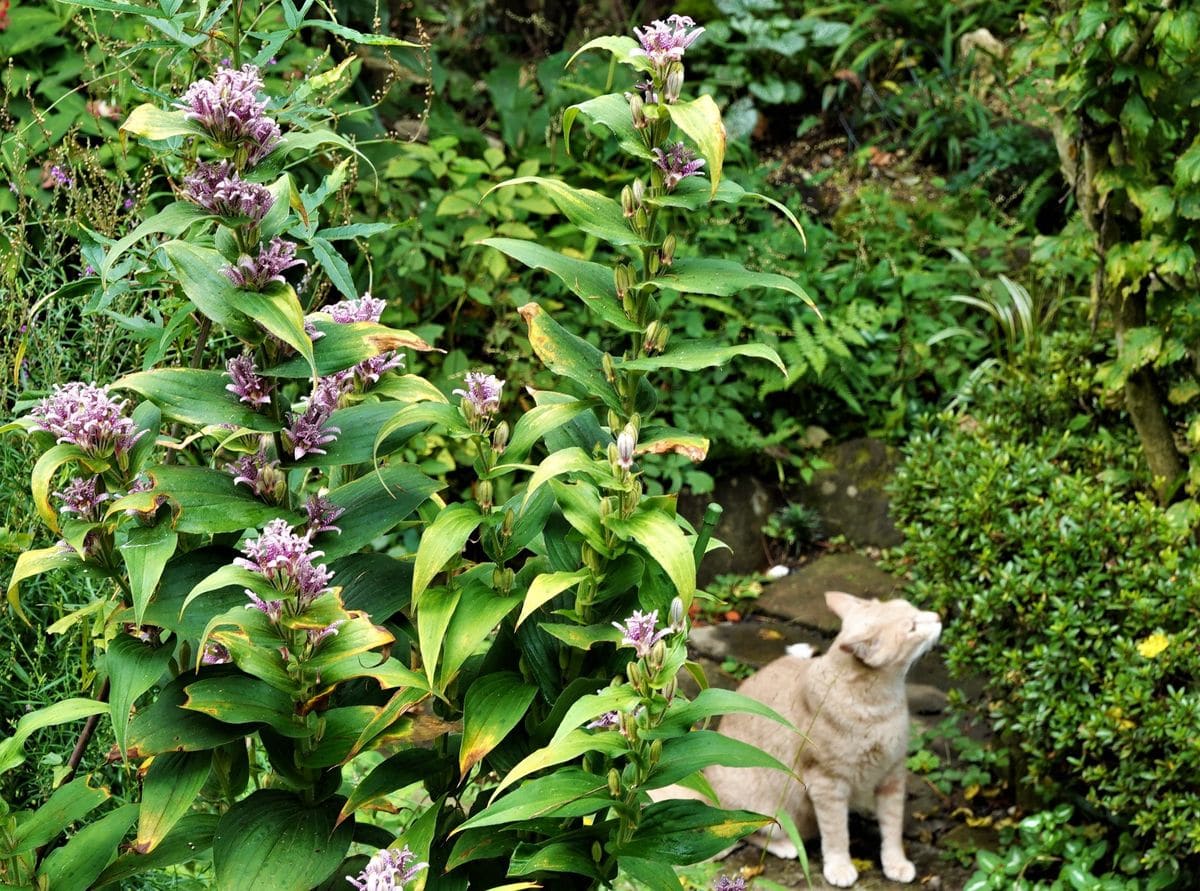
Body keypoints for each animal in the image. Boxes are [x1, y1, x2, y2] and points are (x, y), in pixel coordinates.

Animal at [700, 593, 936, 888]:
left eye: (913, 609)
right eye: (912, 627)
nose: (938, 617)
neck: (881, 705)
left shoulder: (892, 775)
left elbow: (892, 827)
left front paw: (895, 862)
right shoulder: (827, 784)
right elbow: (837, 834)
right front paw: (840, 866)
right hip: (758, 804)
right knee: (750, 830)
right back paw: (785, 845)